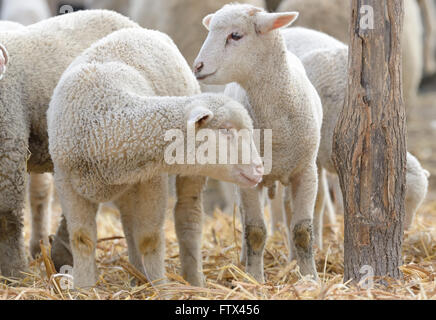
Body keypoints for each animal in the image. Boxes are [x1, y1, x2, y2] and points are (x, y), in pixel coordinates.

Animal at [49, 27, 264, 288]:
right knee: (128, 221)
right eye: (226, 130)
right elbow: (83, 238)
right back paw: (136, 273)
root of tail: (142, 30)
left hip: (187, 176)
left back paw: (193, 280)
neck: (103, 124)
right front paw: (83, 288)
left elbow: (149, 238)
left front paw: (161, 288)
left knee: (187, 216)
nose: (259, 169)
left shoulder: (152, 179)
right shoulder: (66, 182)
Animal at [194, 4, 324, 282]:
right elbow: (254, 231)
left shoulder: (307, 171)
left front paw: (310, 277)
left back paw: (293, 259)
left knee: (287, 210)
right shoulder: (249, 178)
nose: (197, 66)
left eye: (235, 35)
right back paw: (245, 259)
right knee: (245, 218)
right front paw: (255, 278)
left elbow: (302, 231)